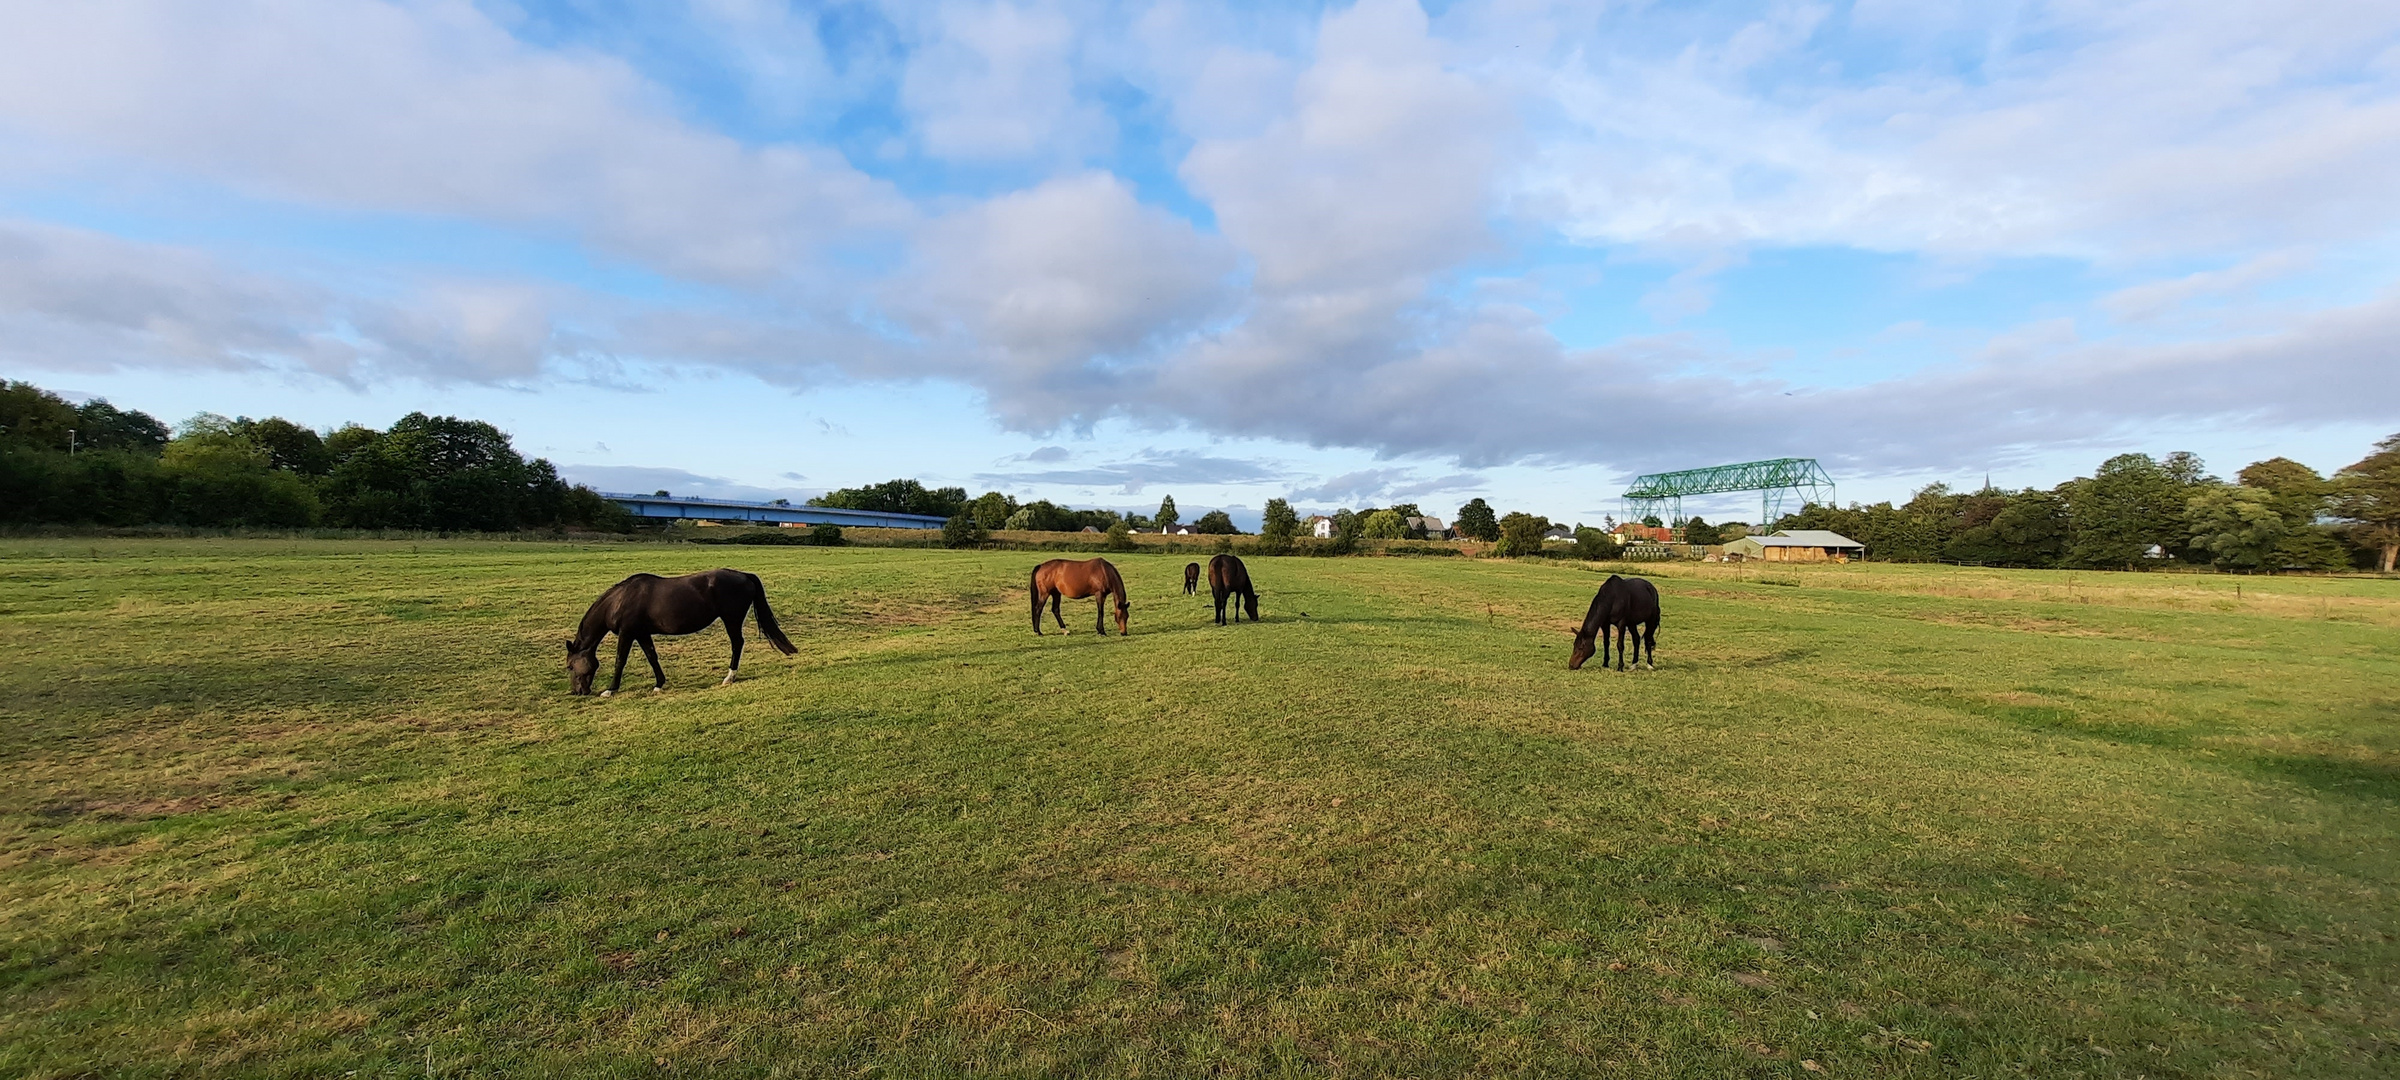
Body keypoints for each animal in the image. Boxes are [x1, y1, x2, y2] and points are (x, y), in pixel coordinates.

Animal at [561, 568, 796, 696]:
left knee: (737, 643)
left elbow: (620, 661)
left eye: (570, 665)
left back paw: (729, 677)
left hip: (732, 619)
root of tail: (744, 575)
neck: (620, 600)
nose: (578, 691)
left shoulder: (628, 633)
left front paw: (610, 690)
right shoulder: (642, 633)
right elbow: (652, 656)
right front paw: (659, 684)